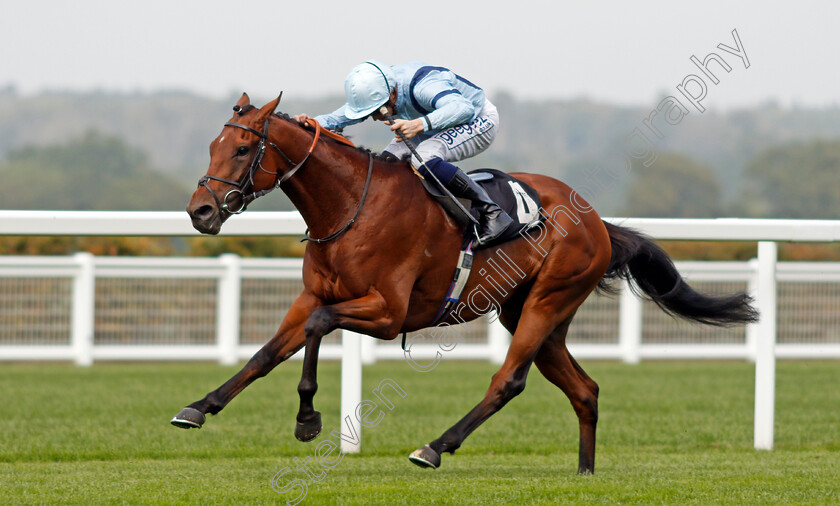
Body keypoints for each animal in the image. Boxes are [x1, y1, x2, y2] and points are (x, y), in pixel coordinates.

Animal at [174, 92, 756, 474]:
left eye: (243, 150)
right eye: (212, 145)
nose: (200, 211)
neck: (350, 206)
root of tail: (597, 222)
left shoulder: (387, 311)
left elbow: (317, 328)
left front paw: (307, 417)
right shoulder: (315, 294)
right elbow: (266, 353)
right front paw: (199, 407)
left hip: (548, 300)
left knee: (509, 380)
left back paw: (435, 446)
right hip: (532, 314)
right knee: (584, 390)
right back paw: (585, 471)